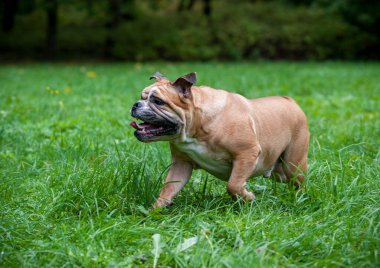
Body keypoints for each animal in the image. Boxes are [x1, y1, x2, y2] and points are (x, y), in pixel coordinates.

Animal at [131, 72, 308, 208]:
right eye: (141, 96)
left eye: (157, 101)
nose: (135, 104)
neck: (197, 125)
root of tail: (290, 101)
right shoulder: (181, 164)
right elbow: (168, 188)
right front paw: (155, 210)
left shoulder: (246, 153)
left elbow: (233, 185)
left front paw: (248, 198)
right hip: (276, 168)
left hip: (293, 164)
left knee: (297, 182)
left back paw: (299, 199)